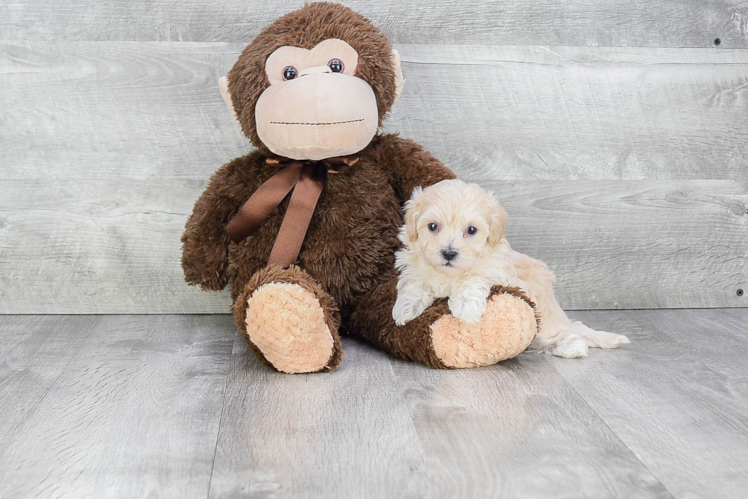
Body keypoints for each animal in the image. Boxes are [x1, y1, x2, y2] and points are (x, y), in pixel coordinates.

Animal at [392, 180, 632, 360]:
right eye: (433, 226)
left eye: (471, 230)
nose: (449, 253)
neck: (450, 274)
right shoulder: (414, 265)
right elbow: (415, 281)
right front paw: (405, 307)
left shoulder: (498, 270)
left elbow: (474, 277)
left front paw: (466, 306)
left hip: (545, 313)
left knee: (564, 334)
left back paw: (571, 347)